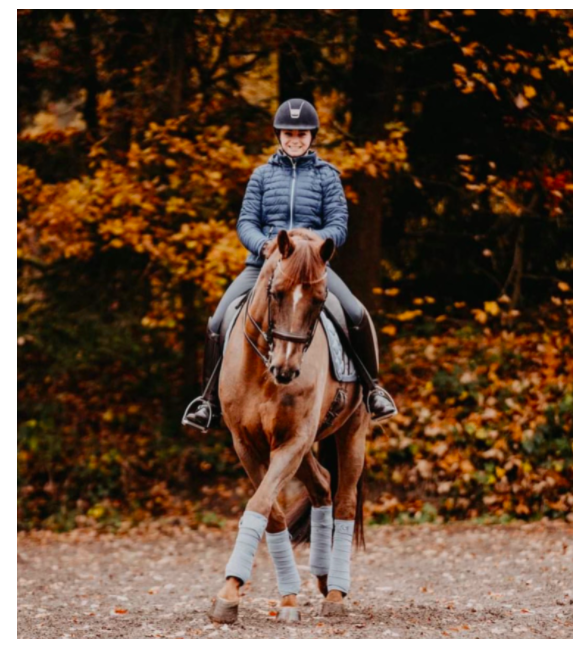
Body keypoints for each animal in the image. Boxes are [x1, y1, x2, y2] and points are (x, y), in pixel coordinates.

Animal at [208, 228, 368, 624]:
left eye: (319, 299)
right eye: (276, 292)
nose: (286, 368)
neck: (263, 372)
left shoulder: (292, 441)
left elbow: (262, 503)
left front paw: (231, 590)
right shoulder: (248, 444)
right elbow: (272, 513)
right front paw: (280, 597)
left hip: (351, 431)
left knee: (344, 501)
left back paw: (336, 592)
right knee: (323, 485)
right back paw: (322, 578)